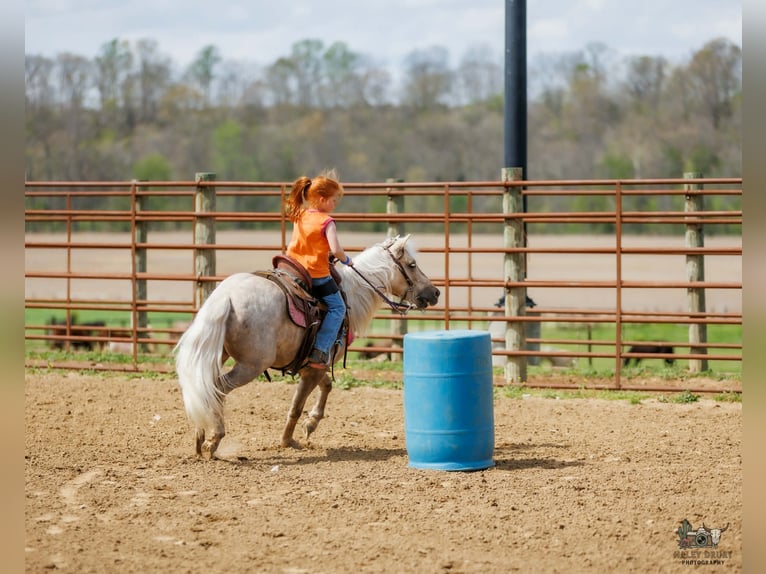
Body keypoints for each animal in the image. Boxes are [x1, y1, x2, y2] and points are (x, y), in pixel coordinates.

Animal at [174, 234, 440, 459]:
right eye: (412, 264)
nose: (435, 292)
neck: (350, 295)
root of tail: (226, 297)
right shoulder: (315, 366)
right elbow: (297, 405)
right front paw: (289, 440)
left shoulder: (313, 364)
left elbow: (327, 386)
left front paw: (310, 424)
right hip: (251, 365)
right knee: (218, 388)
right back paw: (214, 438)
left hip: (220, 354)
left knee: (204, 387)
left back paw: (200, 437)